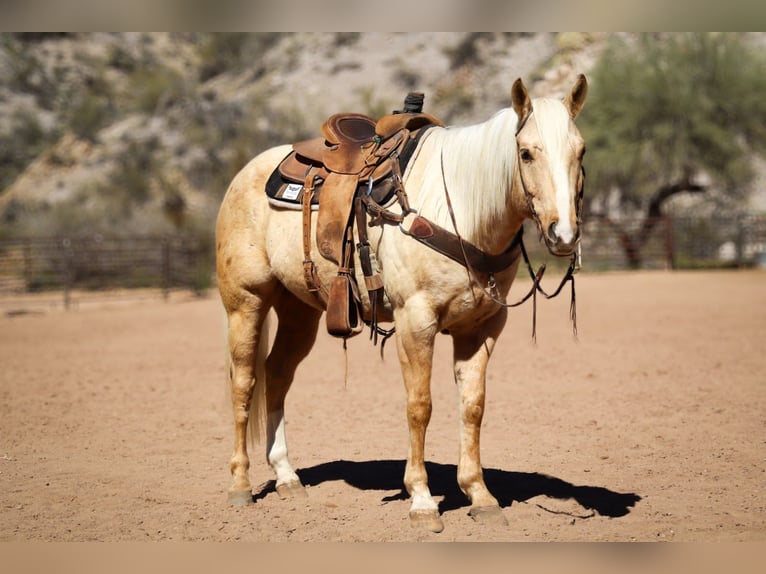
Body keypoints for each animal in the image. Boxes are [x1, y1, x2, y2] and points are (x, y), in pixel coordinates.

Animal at [215, 75, 588, 533]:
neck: (460, 207)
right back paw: (240, 485)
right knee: (245, 382)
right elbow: (419, 406)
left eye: (581, 151)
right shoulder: (416, 322)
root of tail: (245, 174)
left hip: (298, 310)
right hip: (245, 302)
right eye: (526, 153)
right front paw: (422, 500)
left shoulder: (481, 328)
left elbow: (473, 407)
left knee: (278, 375)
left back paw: (287, 477)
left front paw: (480, 495)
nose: (563, 234)